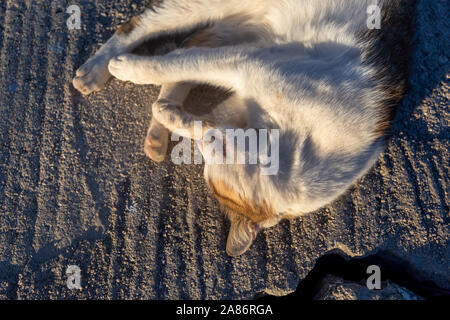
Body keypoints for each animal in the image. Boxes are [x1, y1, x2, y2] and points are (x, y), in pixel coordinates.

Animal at [72, 0, 414, 256]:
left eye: (210, 168)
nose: (204, 146)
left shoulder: (243, 88)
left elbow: (198, 98)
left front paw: (167, 114)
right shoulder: (249, 64)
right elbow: (177, 62)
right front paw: (132, 70)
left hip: (237, 29)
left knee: (192, 47)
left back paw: (156, 134)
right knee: (141, 28)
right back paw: (98, 68)